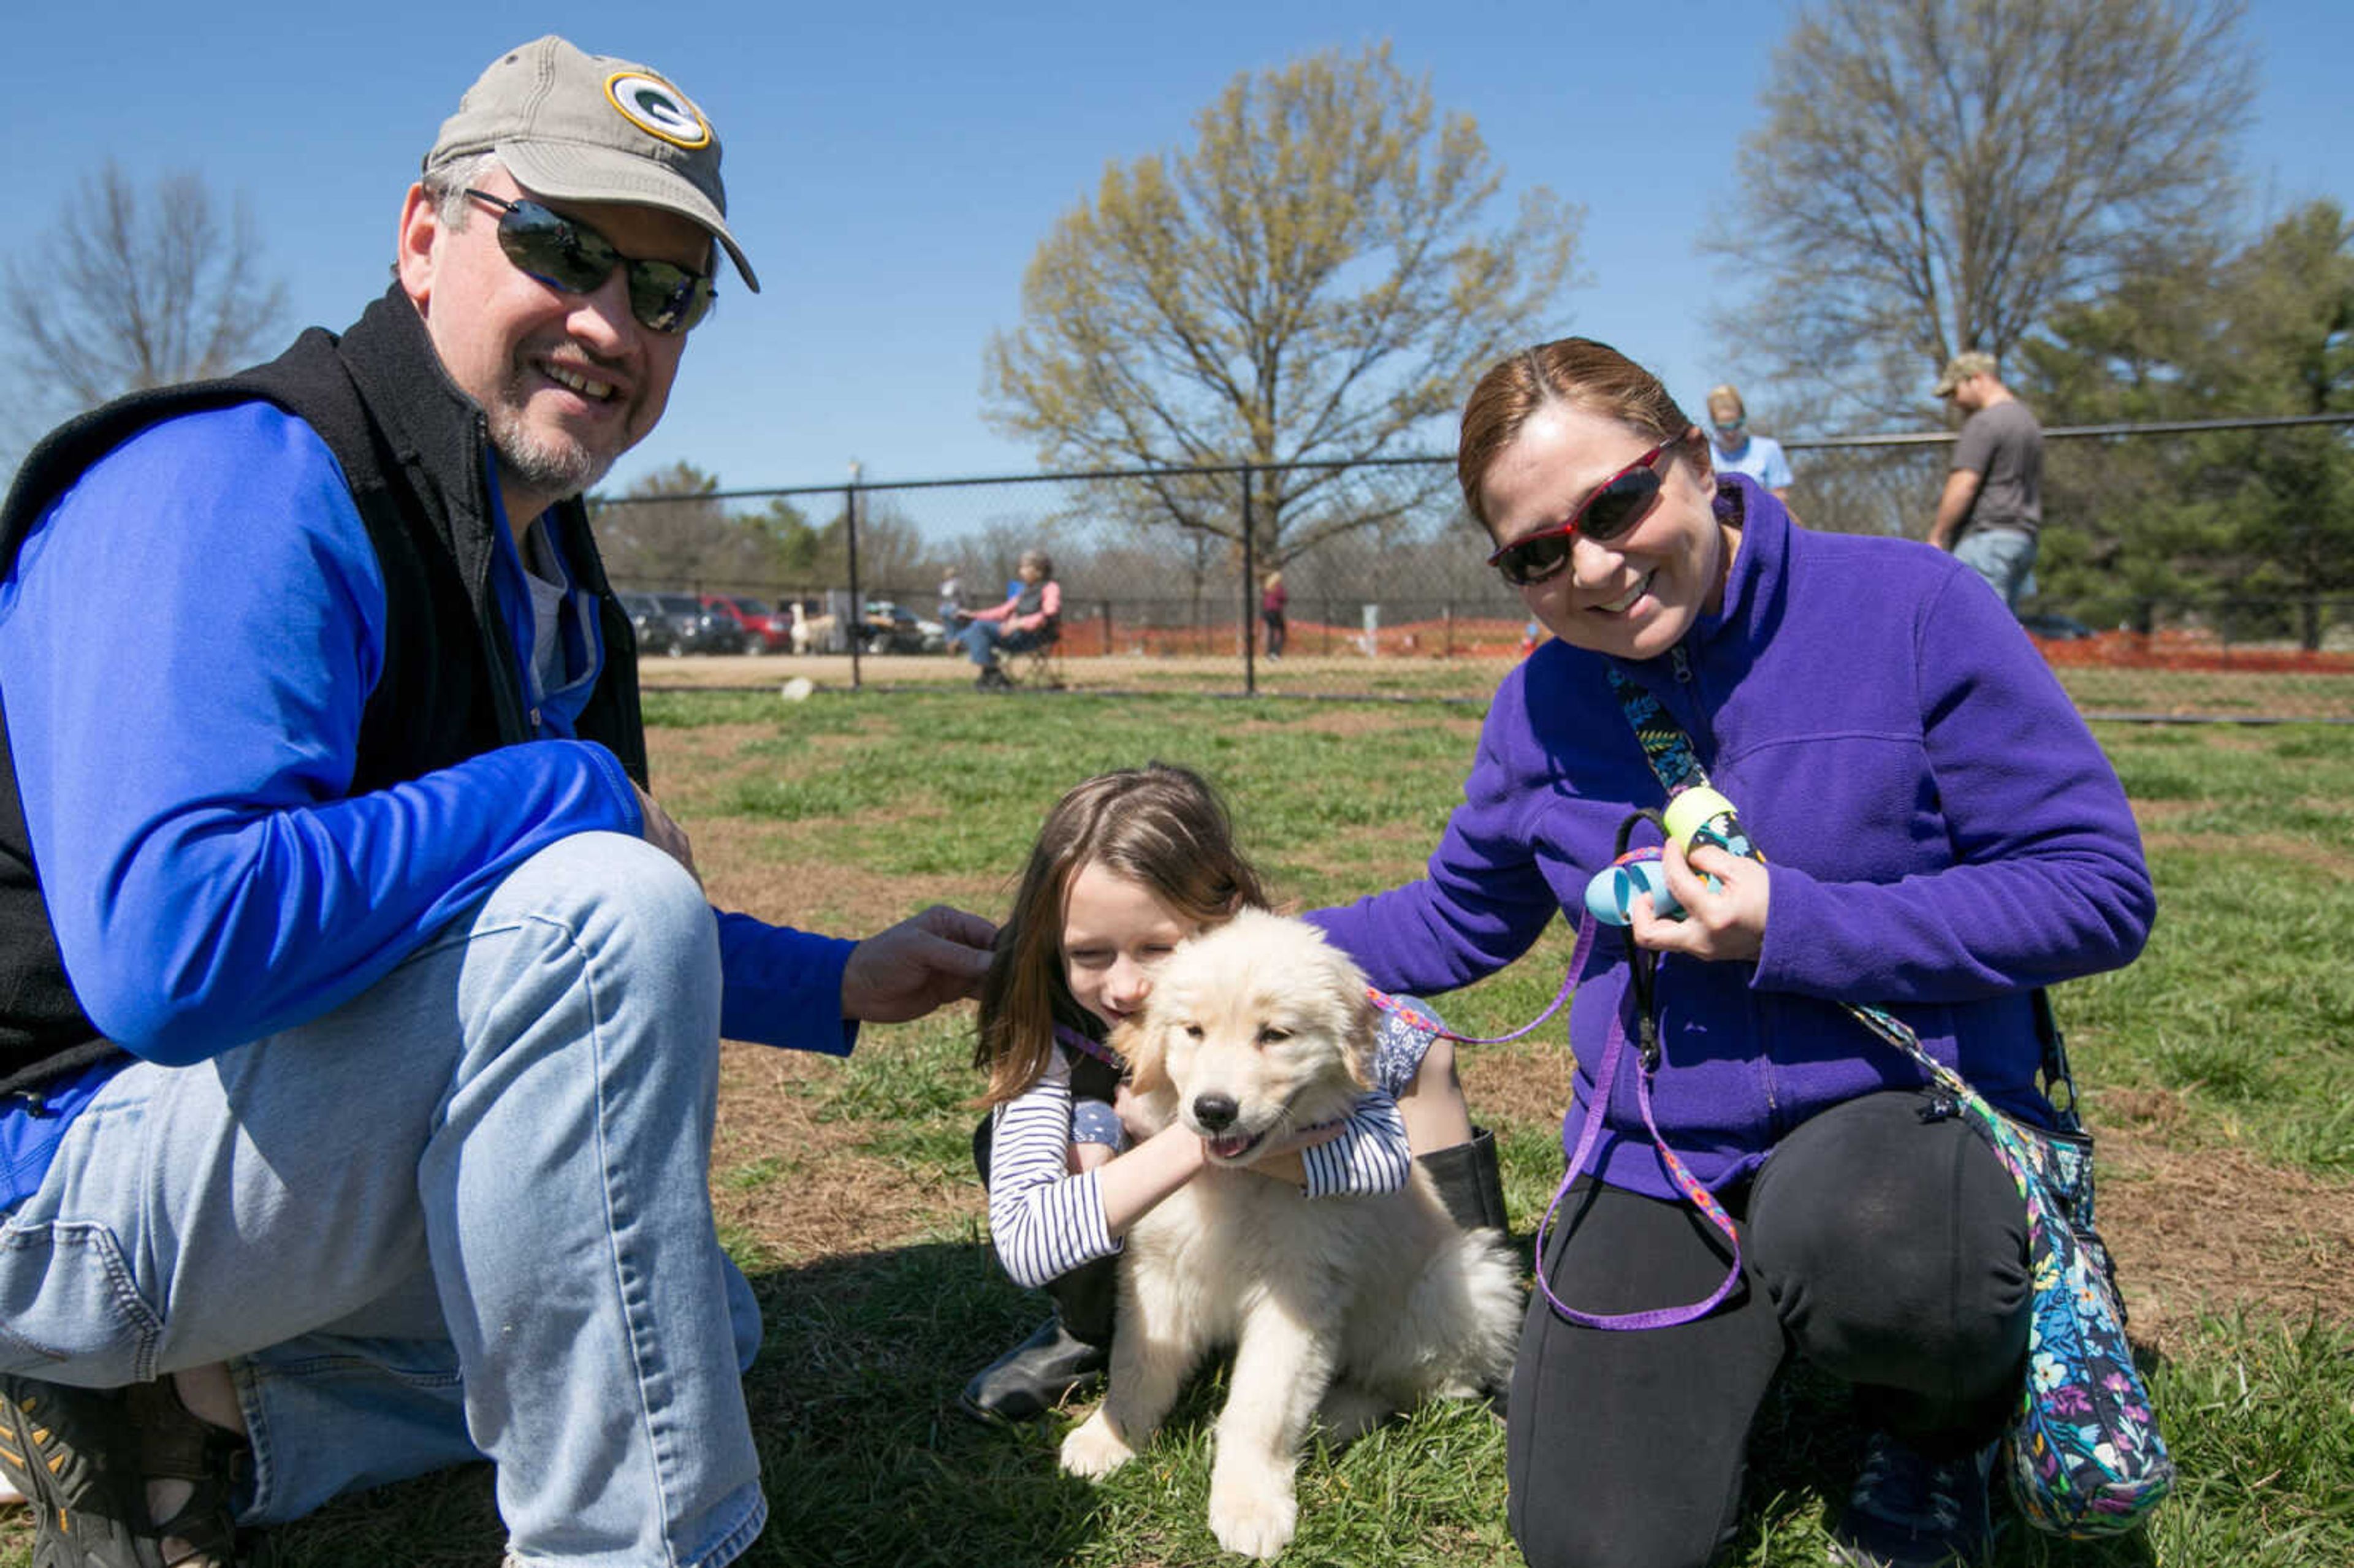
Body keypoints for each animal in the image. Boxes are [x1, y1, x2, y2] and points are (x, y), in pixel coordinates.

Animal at [1059, 904, 1515, 1553]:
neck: (1241, 1181)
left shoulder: (1301, 1292)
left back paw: (1331, 1417)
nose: (1213, 1110)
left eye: (1275, 1036)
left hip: (1461, 1280)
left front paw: (1249, 1504)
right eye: (1193, 1032)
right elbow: (1137, 1365)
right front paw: (1109, 1437)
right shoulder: (1159, 1269)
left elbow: (1263, 1407)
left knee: (1419, 1385)